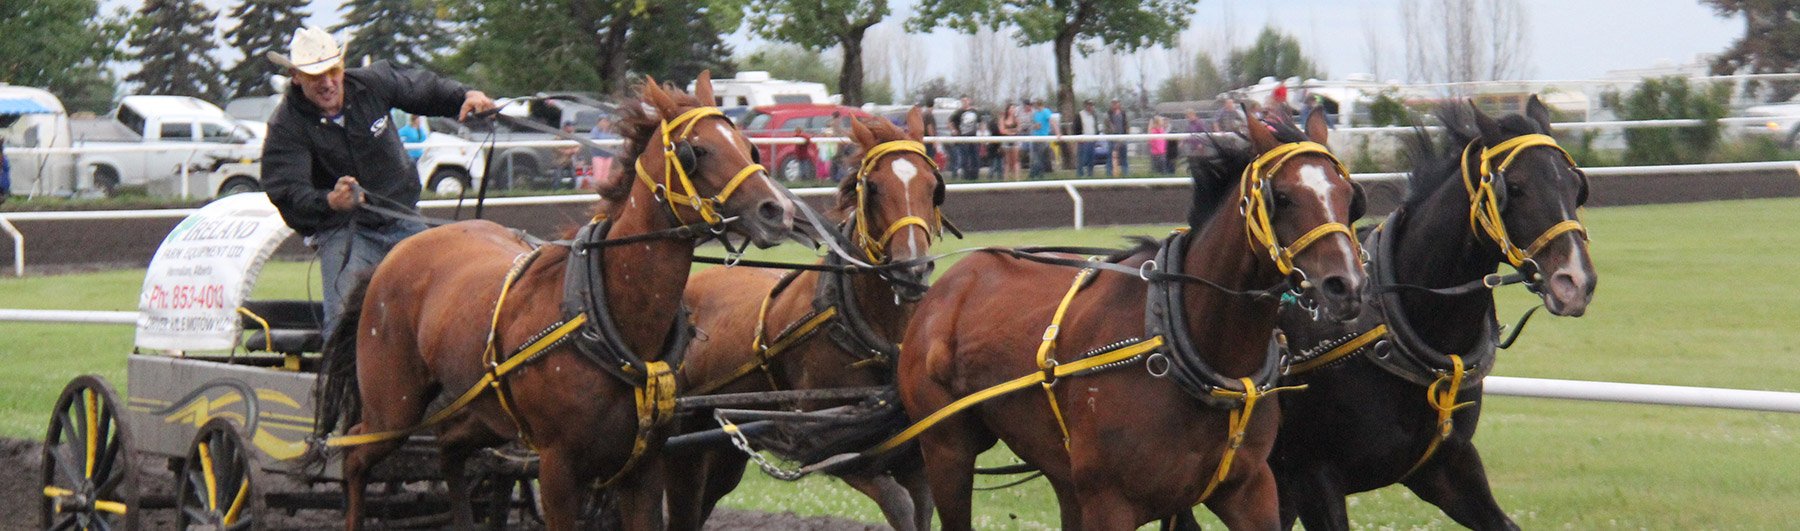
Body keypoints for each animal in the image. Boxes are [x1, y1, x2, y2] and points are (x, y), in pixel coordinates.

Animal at [313, 74, 799, 531]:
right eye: (695, 151)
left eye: (750, 148)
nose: (778, 211)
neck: (606, 316)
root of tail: (396, 253)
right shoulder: (558, 469)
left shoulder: (643, 469)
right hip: (392, 406)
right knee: (354, 453)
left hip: (482, 410)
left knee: (449, 445)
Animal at [662, 109, 943, 531]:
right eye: (873, 188)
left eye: (933, 186)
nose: (911, 268)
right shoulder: (827, 448)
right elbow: (898, 504)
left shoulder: (915, 459)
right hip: (683, 450)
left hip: (723, 455)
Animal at [892, 110, 1368, 529]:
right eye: (1282, 198)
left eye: (1350, 198)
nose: (1346, 285)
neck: (1184, 344)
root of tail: (947, 285)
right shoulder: (1109, 502)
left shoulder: (1246, 490)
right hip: (947, 450)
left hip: (1062, 474)